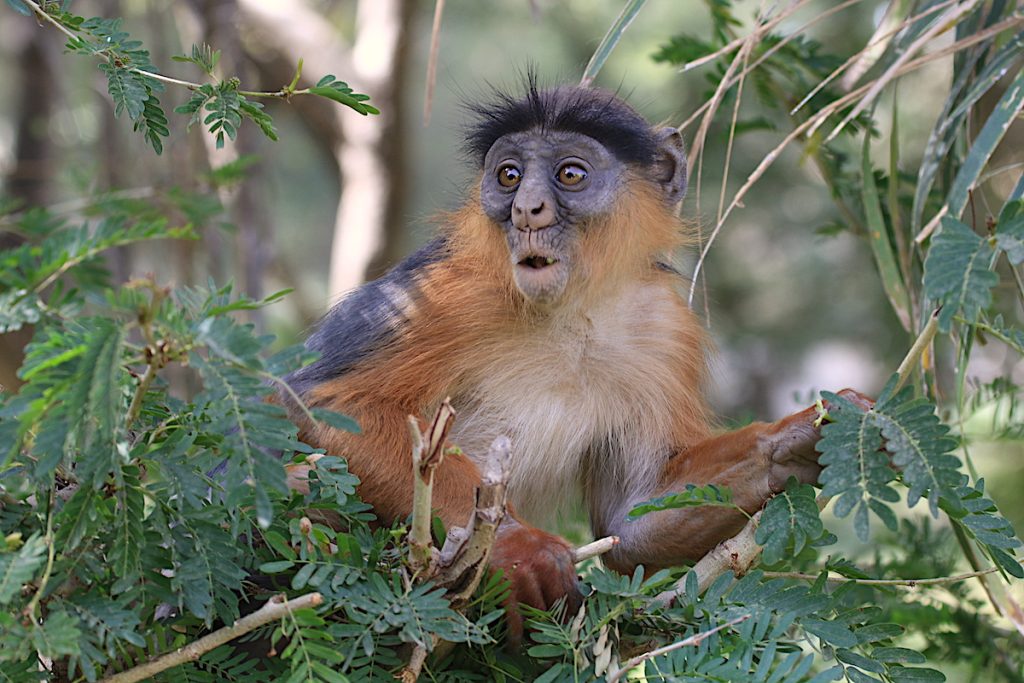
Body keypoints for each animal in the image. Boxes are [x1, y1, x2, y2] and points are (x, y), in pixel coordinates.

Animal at [282, 82, 864, 643]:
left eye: (570, 174)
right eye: (509, 176)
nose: (526, 210)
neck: (572, 309)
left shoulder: (663, 327)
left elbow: (629, 523)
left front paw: (795, 441)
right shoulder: (447, 291)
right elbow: (321, 402)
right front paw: (519, 547)